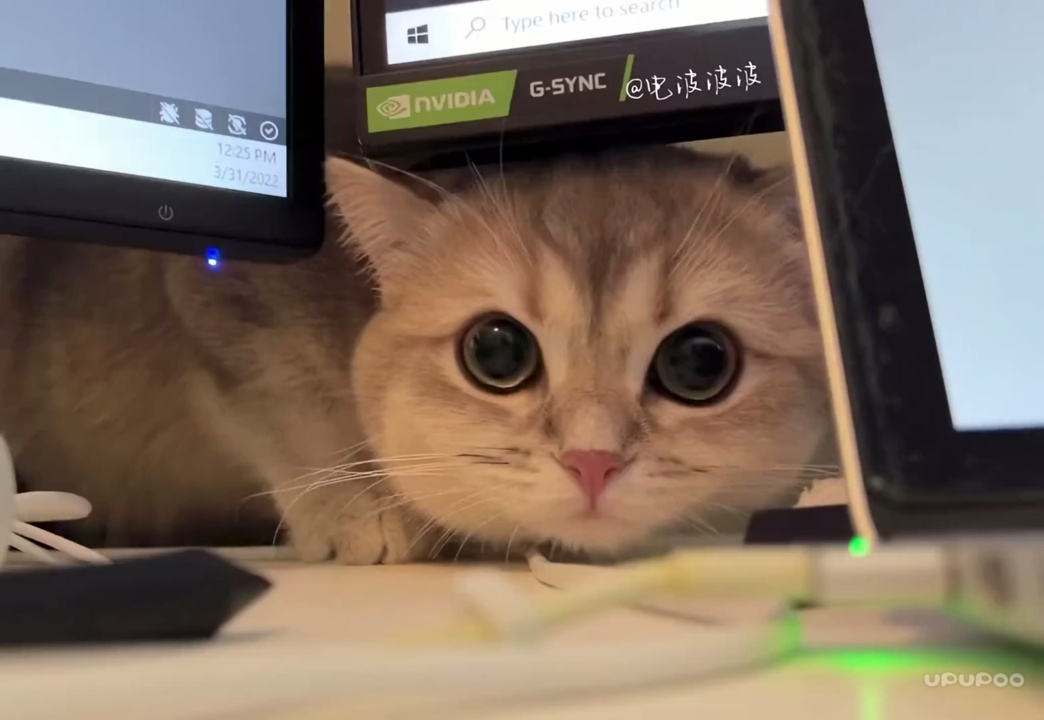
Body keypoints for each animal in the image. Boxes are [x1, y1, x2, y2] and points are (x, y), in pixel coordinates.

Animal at [0, 146, 834, 564]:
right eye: (496, 352)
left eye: (700, 363)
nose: (592, 463)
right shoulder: (214, 291)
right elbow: (283, 408)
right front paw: (358, 511)